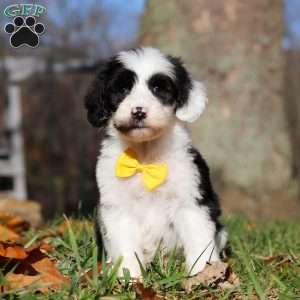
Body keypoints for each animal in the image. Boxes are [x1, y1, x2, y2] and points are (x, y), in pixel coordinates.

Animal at [83, 47, 226, 278]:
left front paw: (203, 275)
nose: (138, 111)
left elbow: (199, 240)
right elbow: (125, 247)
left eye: (158, 88)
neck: (146, 156)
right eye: (122, 89)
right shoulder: (117, 208)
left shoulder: (191, 201)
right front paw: (129, 278)